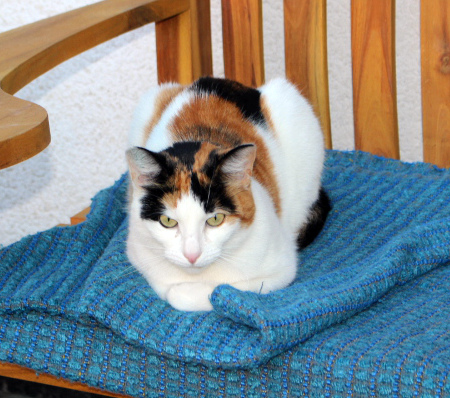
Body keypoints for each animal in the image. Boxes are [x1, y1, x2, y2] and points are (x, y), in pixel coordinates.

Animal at [125, 77, 328, 310]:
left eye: (216, 219)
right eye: (168, 221)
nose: (192, 255)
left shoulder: (281, 269)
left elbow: (214, 290)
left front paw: (186, 291)